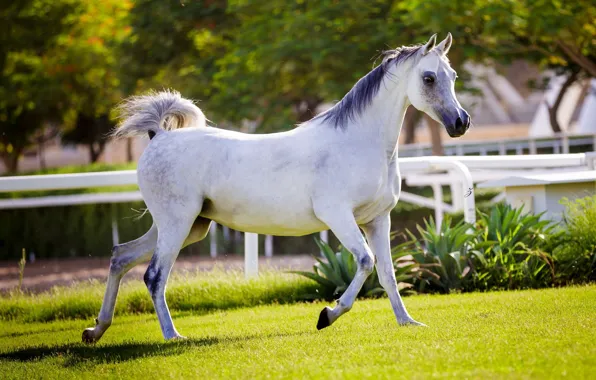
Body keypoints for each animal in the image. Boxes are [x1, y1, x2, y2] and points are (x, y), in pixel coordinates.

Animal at [81, 32, 470, 342]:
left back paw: (95, 331)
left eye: (452, 75)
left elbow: (388, 273)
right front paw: (326, 316)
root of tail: (159, 136)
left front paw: (408, 322)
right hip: (177, 224)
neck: (359, 143)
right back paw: (172, 335)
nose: (460, 123)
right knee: (153, 275)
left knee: (121, 257)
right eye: (429, 77)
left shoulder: (378, 220)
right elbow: (365, 261)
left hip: (187, 226)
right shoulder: (338, 216)